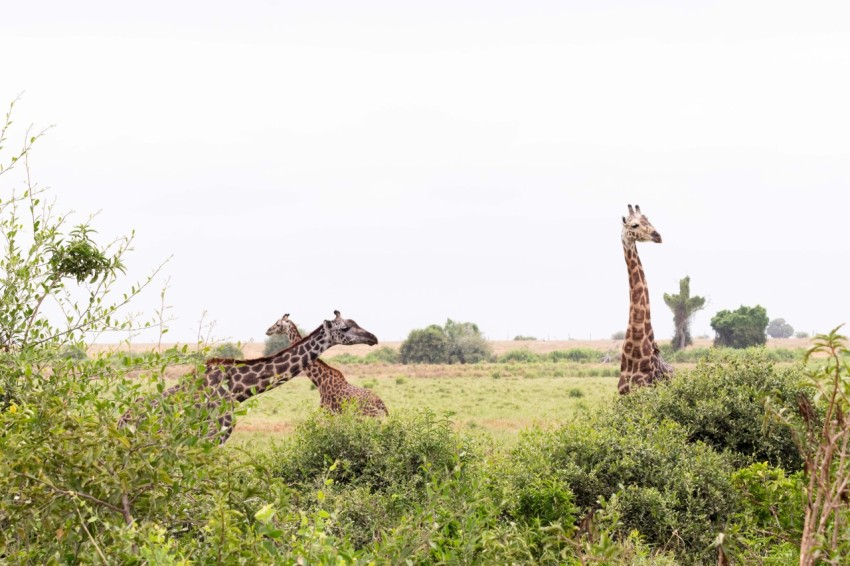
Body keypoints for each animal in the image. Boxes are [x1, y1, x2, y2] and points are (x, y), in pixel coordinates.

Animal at [117, 310, 376, 444]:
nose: (373, 337)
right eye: (344, 328)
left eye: (355, 322)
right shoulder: (213, 436)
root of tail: (121, 420)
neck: (236, 388)